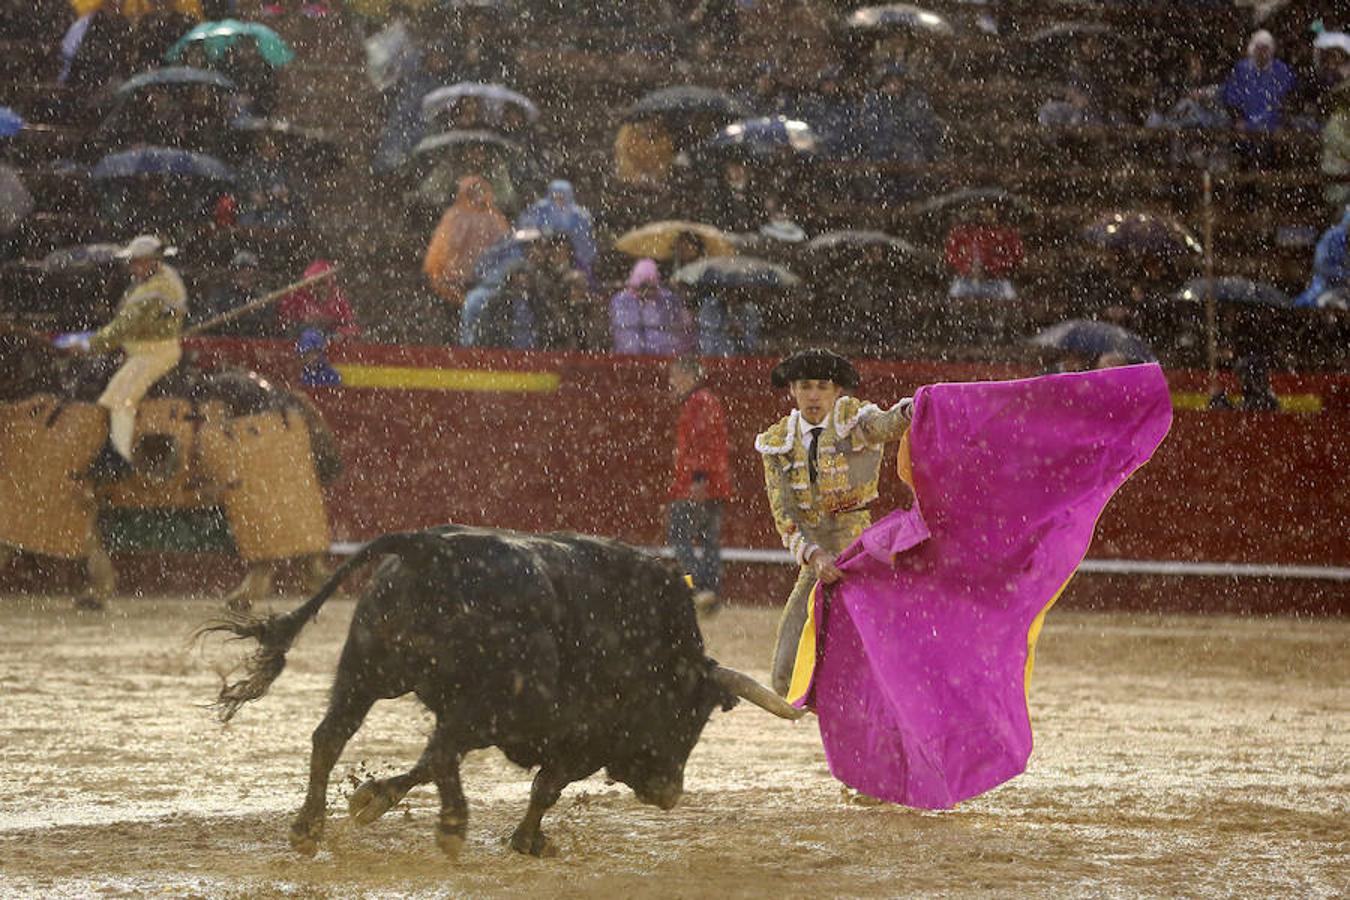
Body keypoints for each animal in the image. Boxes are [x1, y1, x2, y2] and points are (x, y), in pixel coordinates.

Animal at [202, 528, 799, 858]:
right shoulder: (575, 740)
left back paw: (308, 827)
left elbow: (429, 763)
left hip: (368, 671)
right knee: (438, 751)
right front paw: (528, 841)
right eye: (690, 718)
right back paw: (452, 825)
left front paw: (372, 798)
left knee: (332, 736)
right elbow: (544, 787)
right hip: (483, 702)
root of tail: (433, 548)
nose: (669, 793)